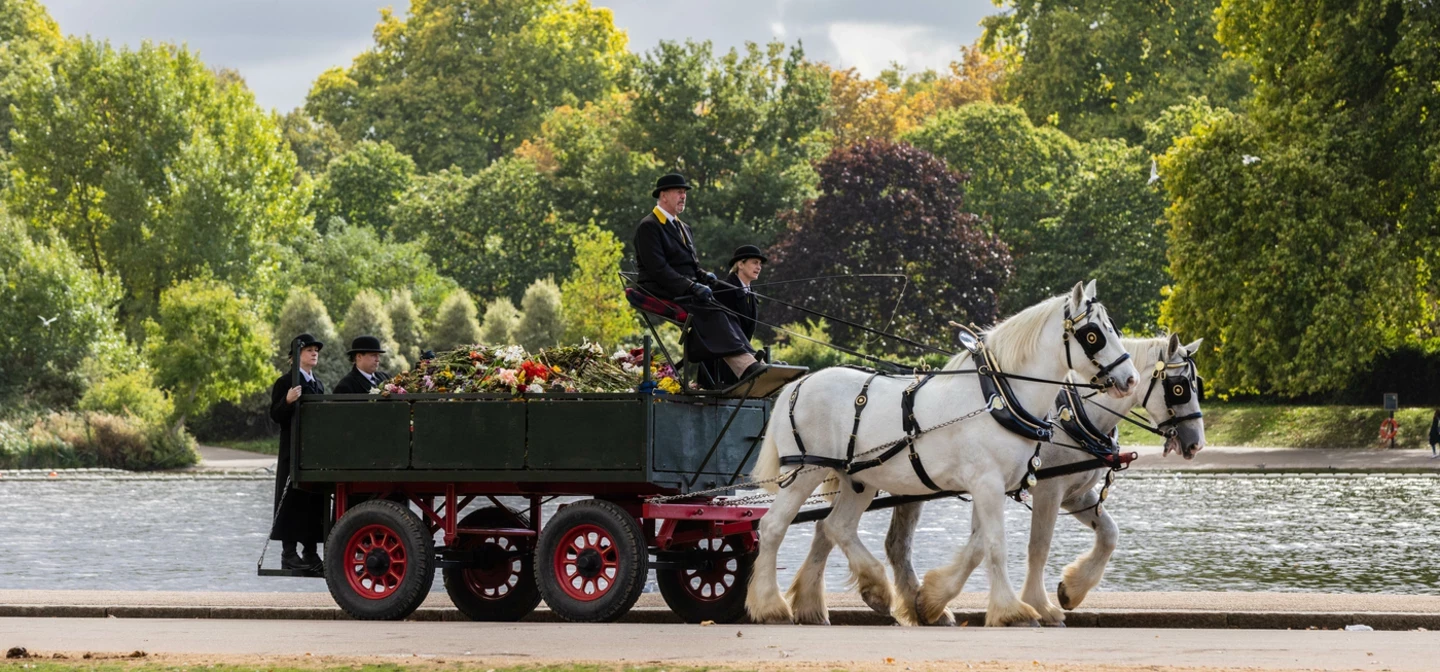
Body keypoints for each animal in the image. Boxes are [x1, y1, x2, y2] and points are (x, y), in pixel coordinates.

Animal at [748, 280, 1140, 627]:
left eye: (1112, 328)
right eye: (1093, 334)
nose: (1130, 379)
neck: (999, 397)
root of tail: (799, 384)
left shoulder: (993, 486)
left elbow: (979, 545)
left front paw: (932, 600)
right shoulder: (987, 482)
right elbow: (995, 544)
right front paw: (1012, 611)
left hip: (858, 479)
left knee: (836, 526)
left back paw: (873, 589)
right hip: (805, 472)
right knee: (773, 527)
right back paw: (770, 605)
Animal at [875, 335, 1215, 627]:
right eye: (1180, 387)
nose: (1197, 444)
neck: (1073, 415)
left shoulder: (1075, 494)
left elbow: (1109, 534)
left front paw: (1072, 589)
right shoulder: (1048, 489)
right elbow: (1038, 545)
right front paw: (1039, 604)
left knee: (897, 544)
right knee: (896, 543)